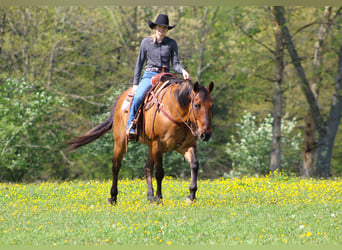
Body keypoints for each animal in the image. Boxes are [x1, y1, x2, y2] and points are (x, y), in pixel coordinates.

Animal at [67, 74, 214, 205]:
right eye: (196, 105)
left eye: (211, 106)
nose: (205, 134)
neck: (175, 113)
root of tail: (121, 98)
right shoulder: (158, 146)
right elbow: (159, 173)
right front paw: (159, 198)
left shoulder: (186, 146)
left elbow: (194, 165)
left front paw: (191, 196)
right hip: (120, 142)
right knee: (116, 166)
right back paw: (113, 197)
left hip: (149, 147)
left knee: (147, 168)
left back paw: (150, 197)